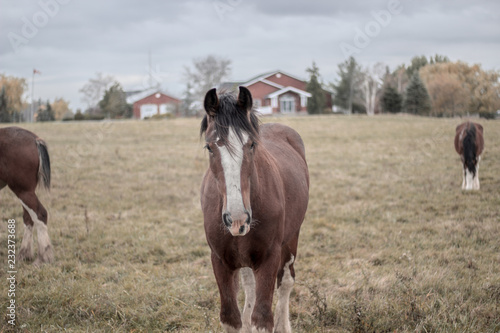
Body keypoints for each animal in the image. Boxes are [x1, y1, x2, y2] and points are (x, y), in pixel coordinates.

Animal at [0, 126, 53, 264]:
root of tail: (35, 140)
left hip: (23, 191)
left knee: (40, 214)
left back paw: (43, 258)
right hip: (25, 192)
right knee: (28, 218)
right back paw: (24, 254)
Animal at [199, 87, 308, 330]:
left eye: (251, 145)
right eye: (209, 147)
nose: (237, 219)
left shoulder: (269, 258)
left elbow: (263, 317)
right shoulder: (220, 260)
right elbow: (231, 317)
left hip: (292, 238)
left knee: (286, 281)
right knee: (249, 285)